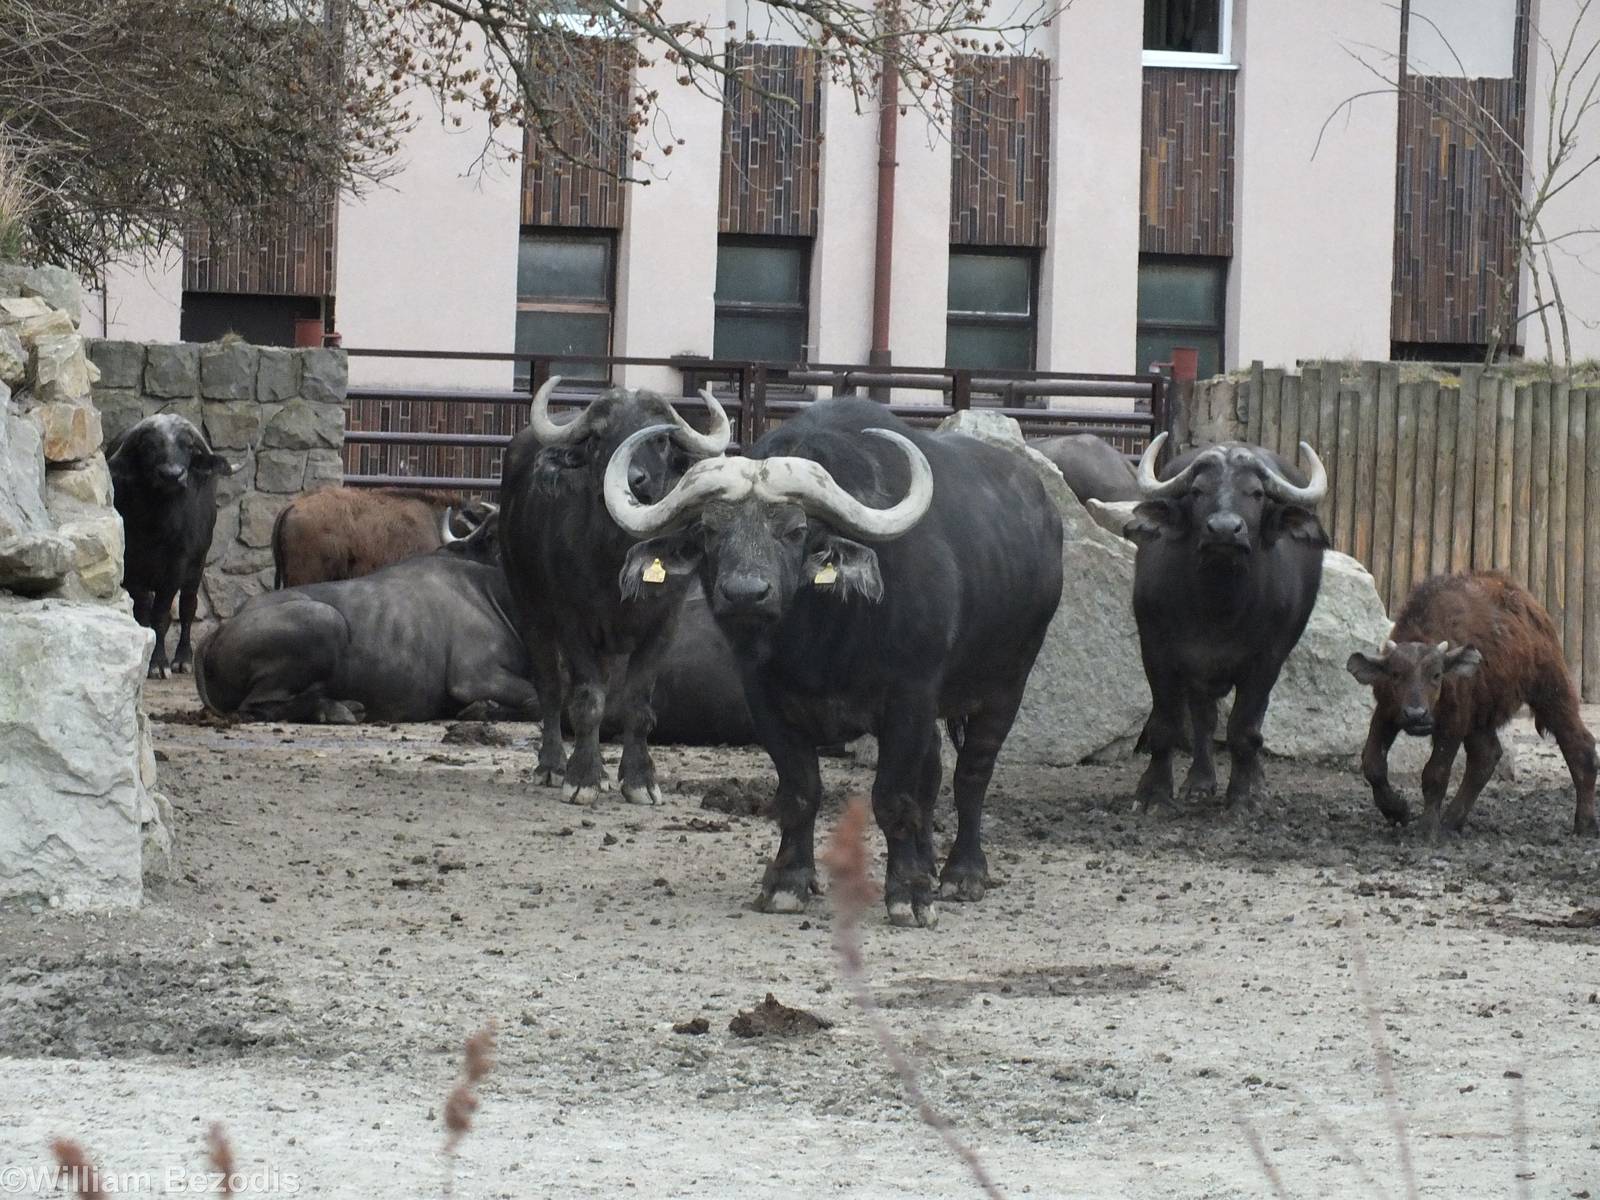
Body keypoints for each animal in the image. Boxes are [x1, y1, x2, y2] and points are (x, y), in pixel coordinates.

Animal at [110, 414, 233, 679]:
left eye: (187, 446)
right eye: (148, 445)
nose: (172, 475)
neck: (158, 526)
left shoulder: (177, 566)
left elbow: (161, 614)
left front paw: (158, 663)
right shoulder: (132, 567)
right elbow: (143, 613)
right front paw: (149, 660)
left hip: (197, 566)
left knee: (188, 607)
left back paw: (183, 659)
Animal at [499, 378, 733, 803]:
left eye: (661, 440)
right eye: (597, 437)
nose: (633, 480)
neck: (617, 562)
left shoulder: (665, 623)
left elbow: (637, 704)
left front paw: (639, 779)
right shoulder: (573, 622)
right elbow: (587, 699)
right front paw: (584, 778)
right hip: (529, 607)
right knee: (550, 688)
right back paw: (552, 765)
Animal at [604, 397, 1064, 928]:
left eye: (796, 530)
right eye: (709, 530)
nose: (745, 594)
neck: (821, 642)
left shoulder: (909, 696)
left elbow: (893, 796)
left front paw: (909, 896)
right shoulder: (766, 699)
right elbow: (801, 790)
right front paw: (788, 883)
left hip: (1007, 682)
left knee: (972, 774)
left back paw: (961, 874)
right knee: (932, 772)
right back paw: (927, 862)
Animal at [1126, 433, 1328, 812]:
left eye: (1257, 493)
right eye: (1197, 491)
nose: (1224, 530)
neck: (1218, 605)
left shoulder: (1267, 660)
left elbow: (1244, 729)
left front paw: (1244, 795)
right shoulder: (1156, 650)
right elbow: (1166, 724)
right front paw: (1153, 793)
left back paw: (1255, 782)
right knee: (1204, 719)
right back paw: (1199, 782)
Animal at [1347, 571, 1598, 839]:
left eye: (1436, 675)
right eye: (1395, 674)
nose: (1416, 715)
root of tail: (1531, 607)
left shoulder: (1453, 723)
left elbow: (1435, 773)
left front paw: (1427, 829)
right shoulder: (1387, 712)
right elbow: (1373, 764)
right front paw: (1398, 811)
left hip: (1551, 691)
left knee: (1580, 746)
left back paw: (1584, 824)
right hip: (1482, 716)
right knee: (1486, 756)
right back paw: (1451, 821)